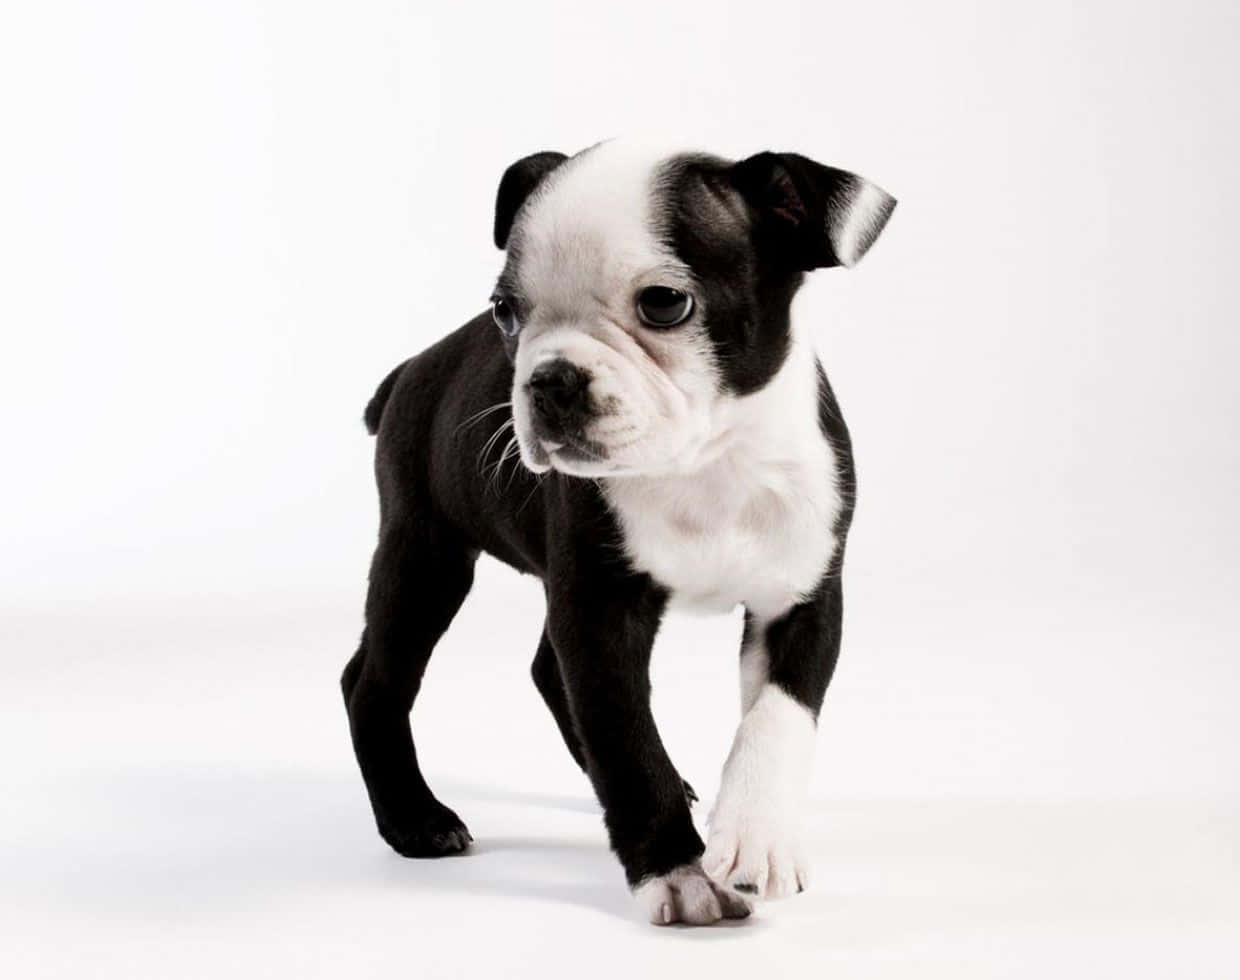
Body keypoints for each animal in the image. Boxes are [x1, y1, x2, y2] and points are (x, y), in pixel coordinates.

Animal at [344, 140, 897, 927]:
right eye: (505, 311)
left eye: (665, 303)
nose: (549, 379)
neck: (706, 462)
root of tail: (410, 370)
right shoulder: (600, 608)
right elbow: (627, 739)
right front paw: (677, 871)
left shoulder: (802, 596)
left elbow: (776, 719)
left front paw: (756, 839)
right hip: (425, 553)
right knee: (374, 679)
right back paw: (414, 818)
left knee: (544, 671)